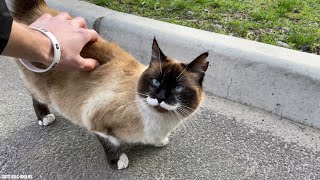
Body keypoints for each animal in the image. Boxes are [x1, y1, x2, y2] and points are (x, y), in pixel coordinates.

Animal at [11, 0, 209, 169]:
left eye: (177, 88)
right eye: (155, 81)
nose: (160, 98)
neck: (161, 121)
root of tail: (38, 9)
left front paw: (159, 142)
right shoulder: (94, 119)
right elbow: (111, 144)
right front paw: (118, 161)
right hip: (42, 89)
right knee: (35, 96)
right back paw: (45, 117)